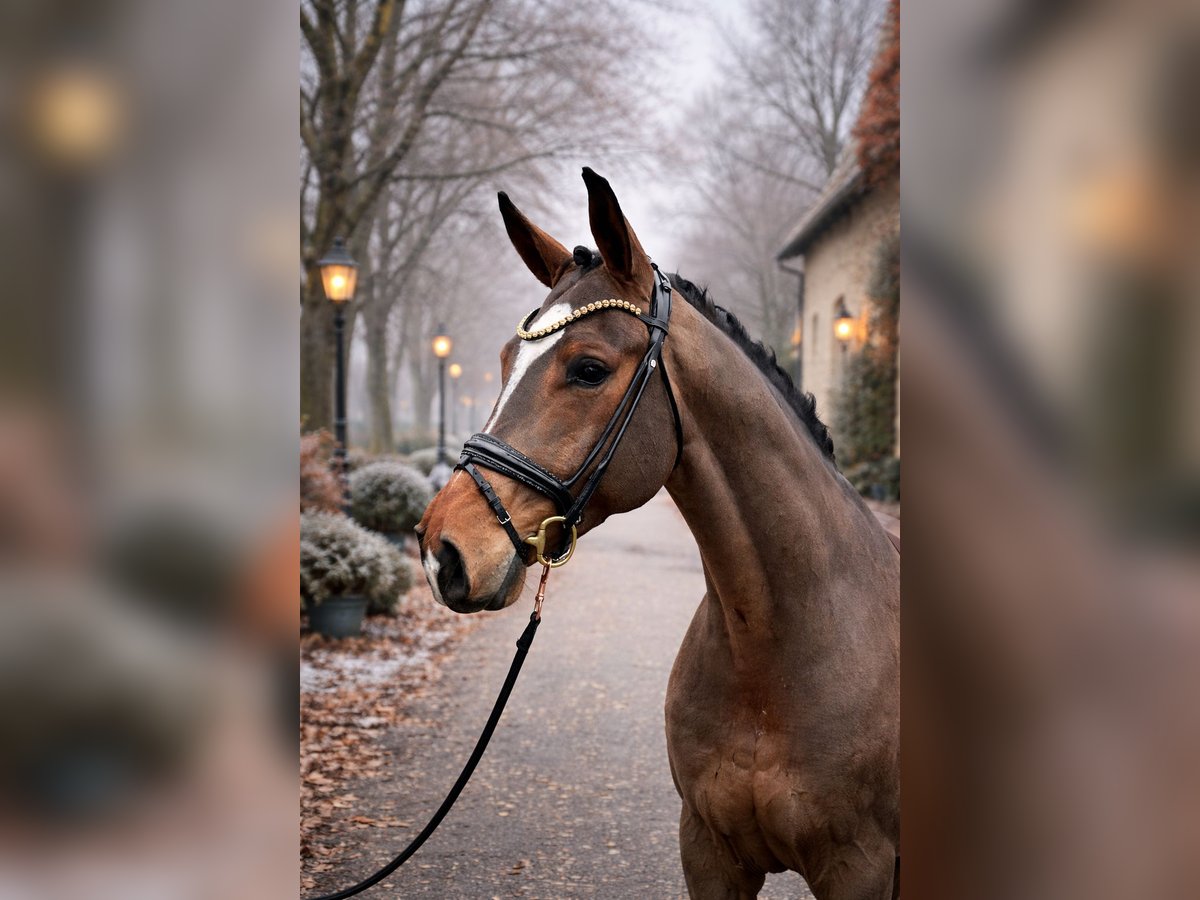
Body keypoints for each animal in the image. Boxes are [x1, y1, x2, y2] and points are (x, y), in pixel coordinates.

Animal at [415, 168, 900, 899]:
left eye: (588, 368)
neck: (776, 646)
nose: (444, 551)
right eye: (503, 361)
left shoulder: (861, 868)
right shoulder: (708, 850)